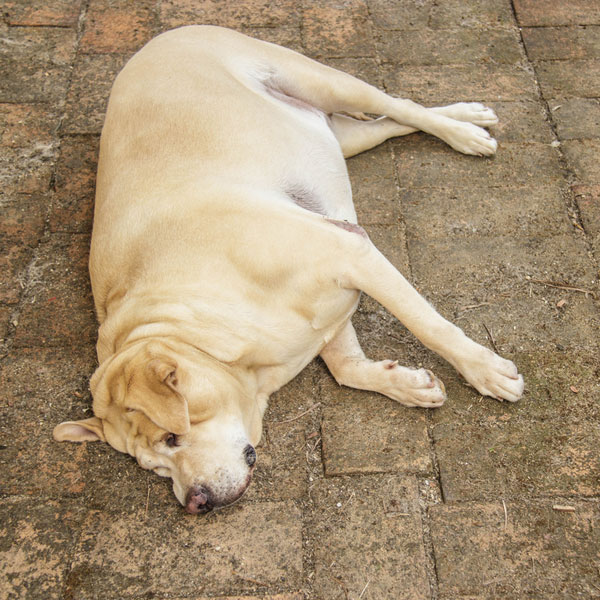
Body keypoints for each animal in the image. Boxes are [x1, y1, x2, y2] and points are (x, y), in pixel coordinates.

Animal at [56, 25, 524, 512]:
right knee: (385, 123)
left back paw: (463, 129)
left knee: (398, 104)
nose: (194, 503)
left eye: (171, 437)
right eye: (152, 467)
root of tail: (159, 38)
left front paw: (485, 370)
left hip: (323, 81)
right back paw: (468, 119)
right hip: (335, 134)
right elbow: (347, 369)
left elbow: (429, 326)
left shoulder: (348, 254)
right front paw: (405, 384)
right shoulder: (329, 307)